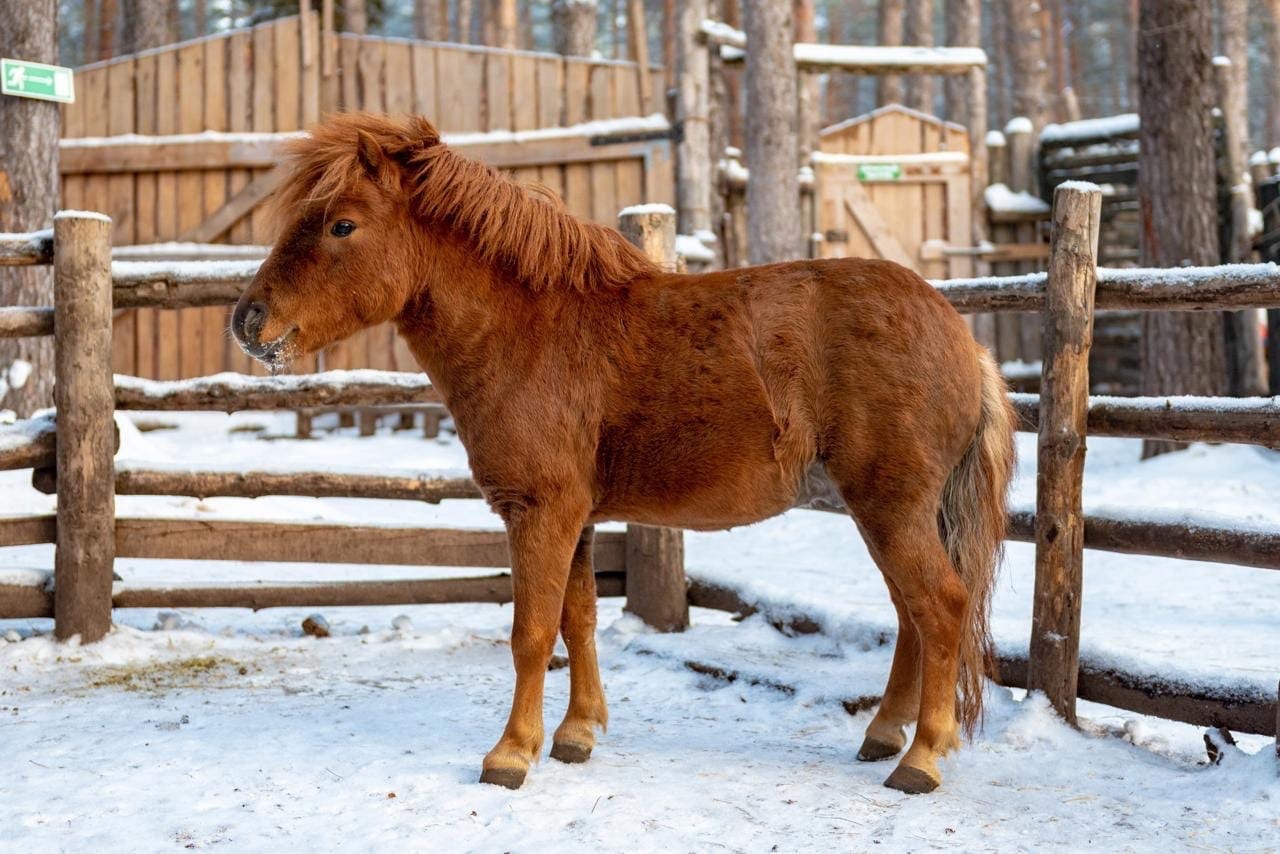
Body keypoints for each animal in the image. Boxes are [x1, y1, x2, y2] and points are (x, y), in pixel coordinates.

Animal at [230, 112, 1008, 793]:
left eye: (342, 224)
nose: (246, 320)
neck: (530, 329)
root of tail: (961, 337)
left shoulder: (538, 510)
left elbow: (532, 632)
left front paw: (510, 754)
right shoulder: (573, 517)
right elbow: (577, 621)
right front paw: (574, 735)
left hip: (891, 507)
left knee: (940, 607)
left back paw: (920, 759)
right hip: (881, 510)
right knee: (910, 614)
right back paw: (884, 734)